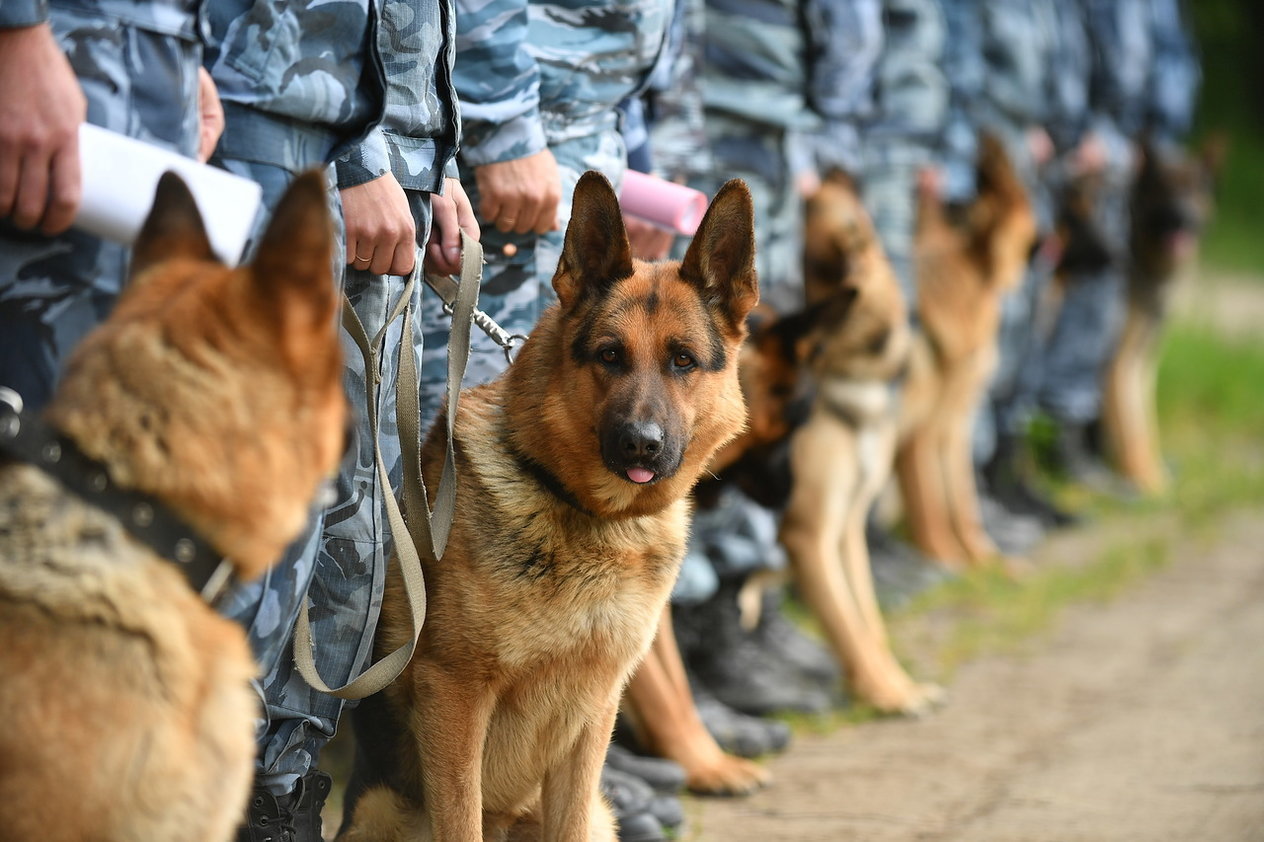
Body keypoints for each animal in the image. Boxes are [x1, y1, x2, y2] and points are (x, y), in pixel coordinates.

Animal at [338, 170, 758, 839]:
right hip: (380, 810)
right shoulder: (454, 695)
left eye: (683, 361)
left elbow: (570, 817)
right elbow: (461, 821)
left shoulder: (593, 713)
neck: (592, 515)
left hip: (600, 814)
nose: (641, 443)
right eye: (610, 354)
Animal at [894, 134, 1031, 566]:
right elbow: (933, 505)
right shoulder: (920, 429)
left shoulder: (953, 425)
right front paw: (947, 559)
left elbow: (962, 500)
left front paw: (985, 561)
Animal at [1102, 137, 1218, 493]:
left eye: (1194, 189)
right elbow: (1133, 428)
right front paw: (1146, 482)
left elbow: (1146, 424)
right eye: (1163, 188)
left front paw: (1151, 473)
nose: (1182, 219)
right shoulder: (1118, 363)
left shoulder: (1143, 362)